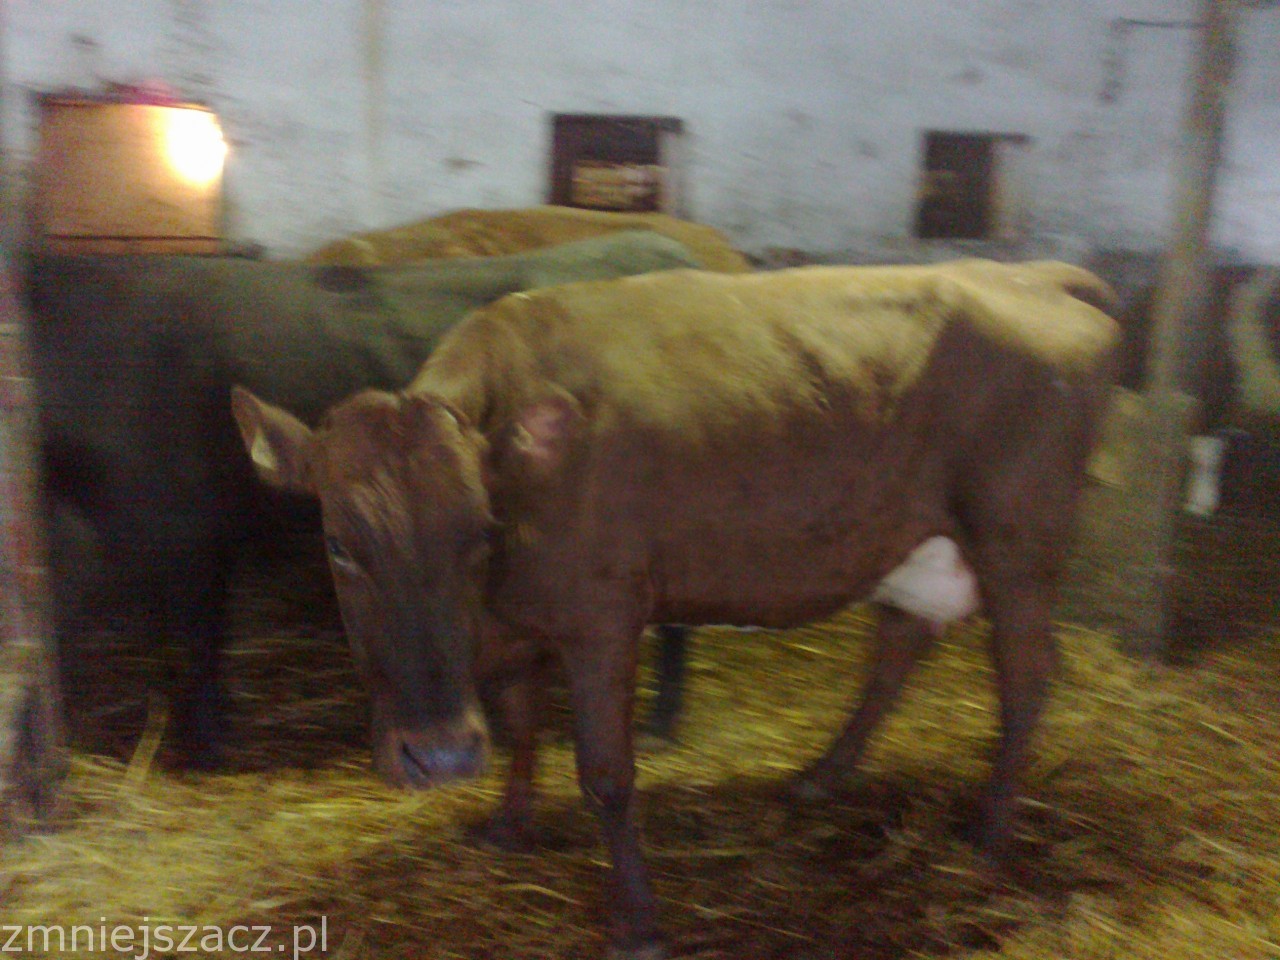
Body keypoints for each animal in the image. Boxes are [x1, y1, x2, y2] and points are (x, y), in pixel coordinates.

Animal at [231, 260, 1119, 959]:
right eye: (340, 543)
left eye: (479, 531)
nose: (440, 756)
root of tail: (1036, 274)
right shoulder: (518, 631)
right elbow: (521, 726)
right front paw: (508, 828)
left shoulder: (601, 616)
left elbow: (606, 774)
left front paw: (637, 924)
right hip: (912, 543)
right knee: (898, 649)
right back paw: (821, 777)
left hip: (1016, 543)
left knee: (1026, 678)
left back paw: (987, 834)